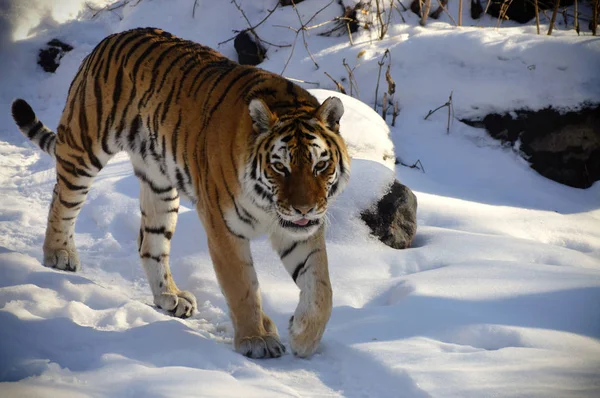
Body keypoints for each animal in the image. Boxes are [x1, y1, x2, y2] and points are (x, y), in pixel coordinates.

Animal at [10, 27, 352, 358]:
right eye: (280, 167)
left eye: (320, 165)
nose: (304, 209)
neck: (268, 206)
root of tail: (110, 38)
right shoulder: (223, 227)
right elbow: (243, 286)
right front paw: (257, 339)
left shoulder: (301, 233)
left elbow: (322, 287)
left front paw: (303, 336)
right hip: (84, 148)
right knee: (62, 200)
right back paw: (58, 254)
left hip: (160, 187)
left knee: (149, 244)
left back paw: (169, 297)